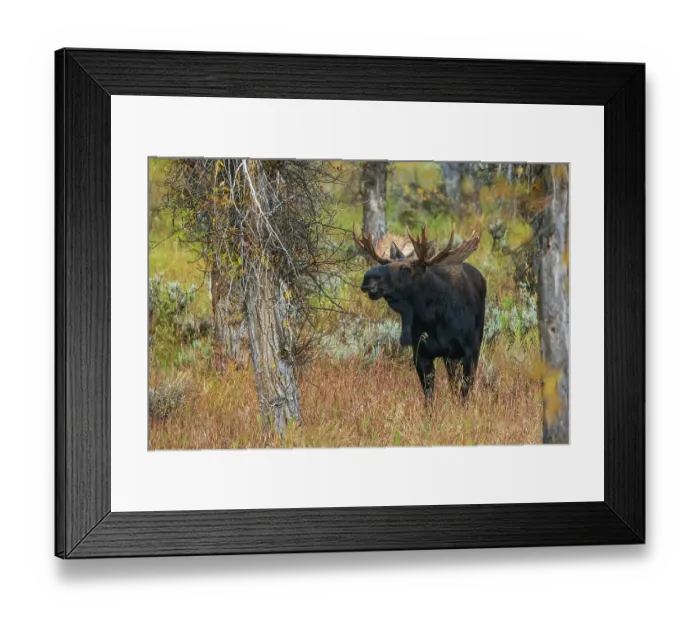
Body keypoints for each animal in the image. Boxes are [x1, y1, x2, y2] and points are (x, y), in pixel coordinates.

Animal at [353, 224, 486, 402]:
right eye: (385, 262)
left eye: (405, 268)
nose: (368, 278)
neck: (434, 320)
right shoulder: (421, 354)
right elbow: (429, 396)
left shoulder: (468, 351)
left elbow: (465, 392)